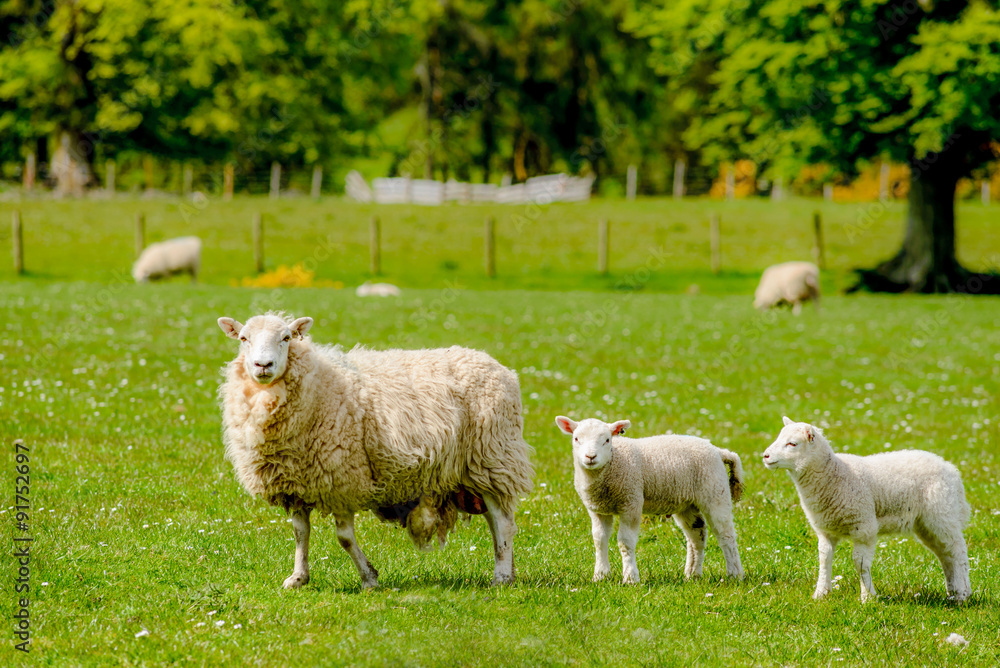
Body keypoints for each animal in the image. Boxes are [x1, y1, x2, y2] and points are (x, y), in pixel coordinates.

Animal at [217, 313, 533, 589]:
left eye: (286, 337)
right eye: (243, 338)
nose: (263, 365)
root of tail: (500, 367)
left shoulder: (342, 479)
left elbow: (344, 537)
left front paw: (369, 578)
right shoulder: (297, 483)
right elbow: (300, 533)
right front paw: (298, 578)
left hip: (492, 457)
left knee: (504, 523)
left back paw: (501, 577)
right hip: (474, 471)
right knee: (495, 521)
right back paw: (509, 570)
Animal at [555, 416, 745, 584]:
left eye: (607, 440)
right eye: (576, 438)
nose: (590, 457)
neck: (614, 462)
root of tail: (718, 451)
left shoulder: (631, 502)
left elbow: (625, 542)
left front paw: (630, 578)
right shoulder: (598, 509)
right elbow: (599, 540)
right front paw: (600, 577)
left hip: (715, 493)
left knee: (726, 535)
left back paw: (734, 575)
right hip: (687, 504)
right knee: (697, 535)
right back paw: (692, 575)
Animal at [763, 417, 971, 603]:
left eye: (792, 444)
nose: (765, 456)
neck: (835, 475)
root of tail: (951, 470)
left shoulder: (863, 527)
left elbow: (860, 563)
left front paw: (868, 597)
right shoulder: (825, 530)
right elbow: (824, 559)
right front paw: (821, 594)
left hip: (942, 513)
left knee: (958, 551)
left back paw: (963, 594)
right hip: (926, 523)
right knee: (945, 555)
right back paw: (952, 593)